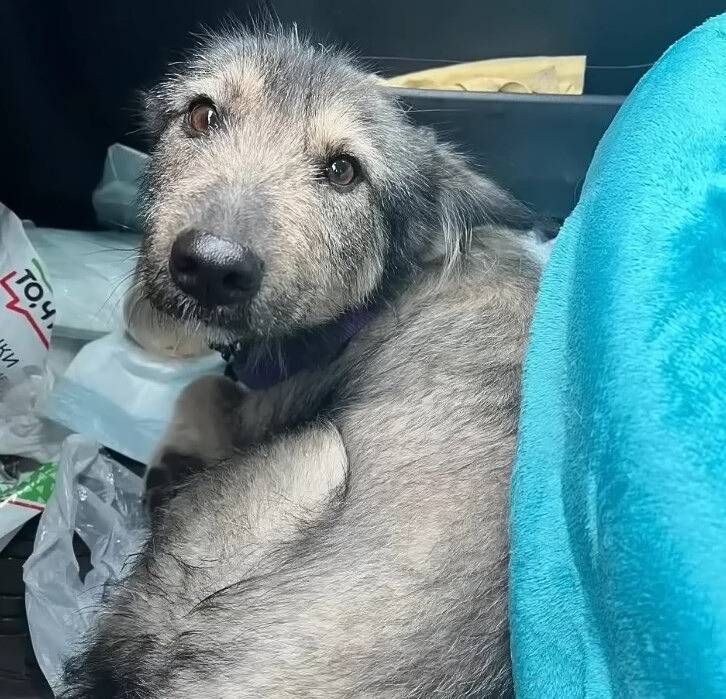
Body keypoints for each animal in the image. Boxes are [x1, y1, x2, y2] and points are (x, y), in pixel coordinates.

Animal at [59, 27, 544, 699]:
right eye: (202, 115)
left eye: (343, 170)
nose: (210, 267)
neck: (387, 290)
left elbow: (198, 391)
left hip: (315, 453)